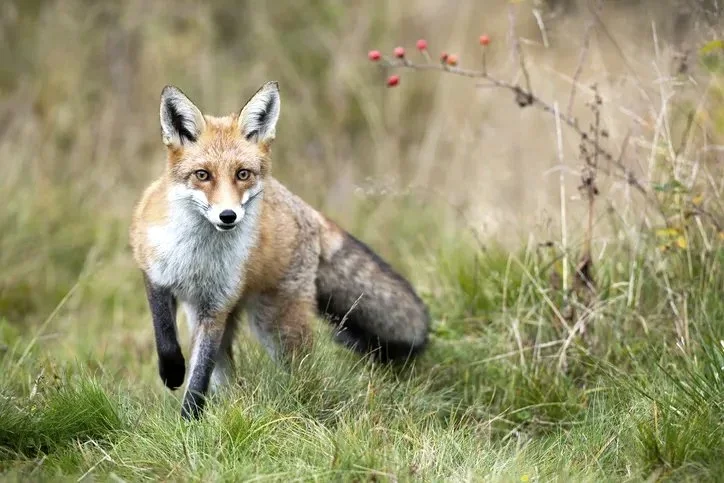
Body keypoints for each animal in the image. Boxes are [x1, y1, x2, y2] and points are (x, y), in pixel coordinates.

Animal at [129, 81, 430, 419]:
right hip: (213, 318)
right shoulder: (154, 273)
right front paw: (172, 373)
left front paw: (189, 420)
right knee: (228, 375)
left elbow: (199, 378)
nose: (228, 216)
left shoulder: (217, 306)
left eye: (243, 174)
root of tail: (307, 210)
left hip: (276, 325)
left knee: (303, 370)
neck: (197, 255)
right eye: (202, 175)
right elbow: (165, 336)